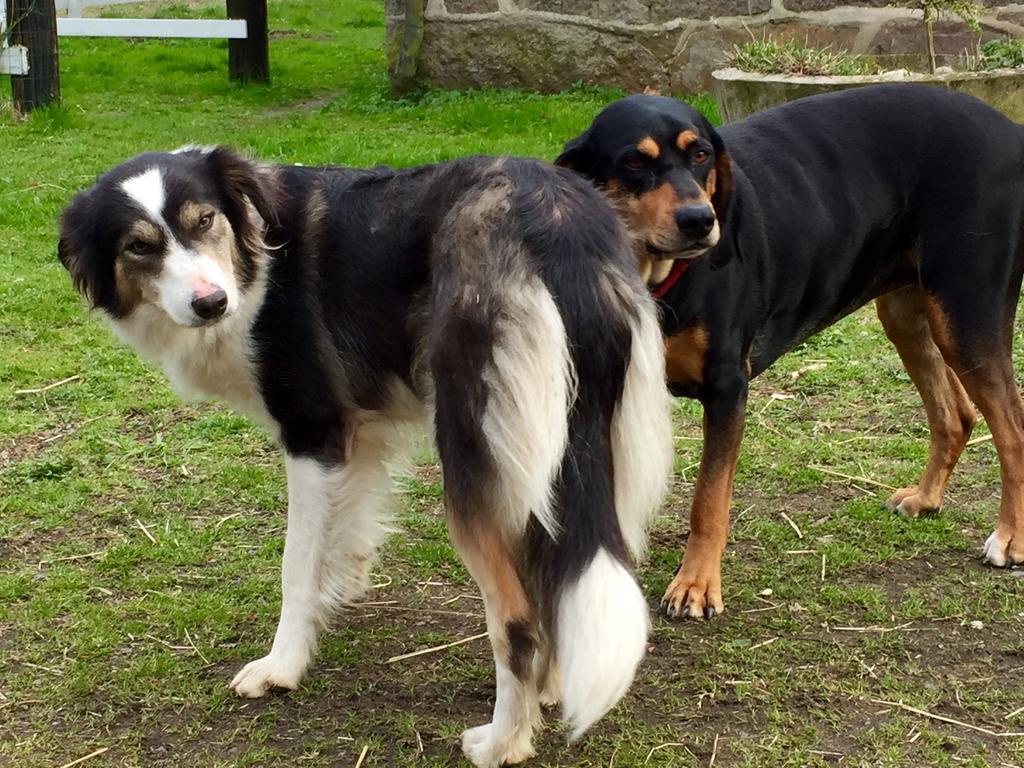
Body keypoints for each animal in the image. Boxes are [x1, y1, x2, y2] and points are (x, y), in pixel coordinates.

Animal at [59, 147, 675, 765]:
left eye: (204, 220)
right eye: (139, 246)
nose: (212, 304)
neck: (254, 257)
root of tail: (556, 222)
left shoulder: (313, 436)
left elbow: (297, 567)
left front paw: (283, 665)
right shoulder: (361, 437)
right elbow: (348, 533)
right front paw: (342, 592)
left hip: (475, 458)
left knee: (517, 620)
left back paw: (501, 742)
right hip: (567, 458)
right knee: (559, 578)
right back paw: (550, 690)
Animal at [561, 83, 1024, 622]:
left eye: (700, 154)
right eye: (635, 161)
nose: (700, 221)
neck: (653, 277)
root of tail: (1010, 130)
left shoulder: (727, 390)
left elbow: (708, 501)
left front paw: (696, 584)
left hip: (967, 318)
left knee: (1011, 431)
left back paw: (1010, 538)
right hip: (907, 315)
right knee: (955, 415)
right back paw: (926, 498)